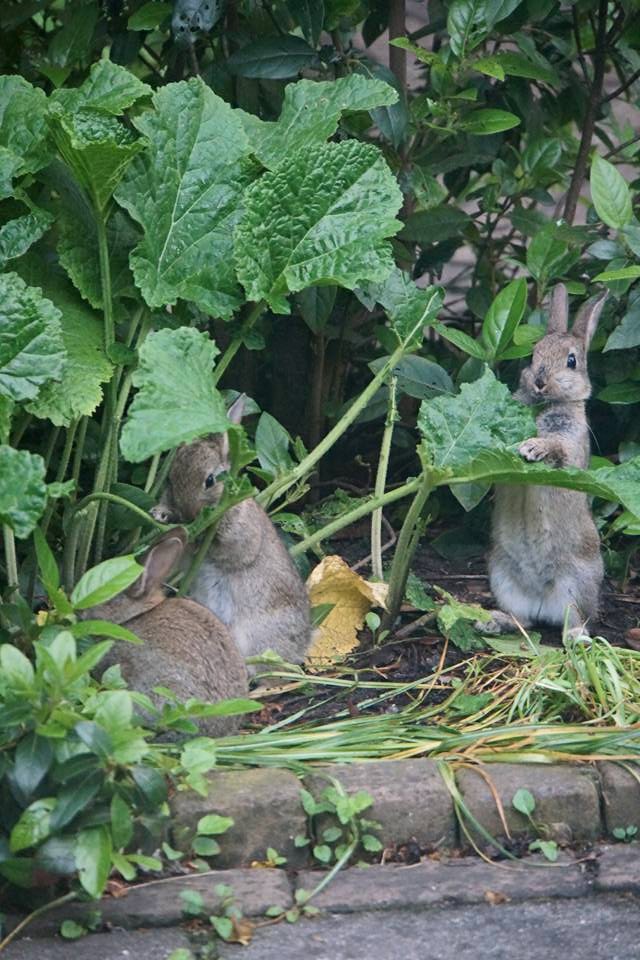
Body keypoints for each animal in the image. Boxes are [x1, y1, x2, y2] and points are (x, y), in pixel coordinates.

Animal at [150, 394, 310, 672]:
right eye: (170, 480)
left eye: (210, 481)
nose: (189, 515)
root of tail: (306, 641)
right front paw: (160, 514)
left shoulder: (240, 539)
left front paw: (199, 537)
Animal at [482, 284, 608, 636]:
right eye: (533, 353)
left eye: (571, 361)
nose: (539, 381)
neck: (544, 404)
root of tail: (541, 601)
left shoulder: (570, 443)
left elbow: (558, 450)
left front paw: (533, 448)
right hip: (501, 575)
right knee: (523, 620)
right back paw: (492, 622)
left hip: (576, 582)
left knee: (575, 621)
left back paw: (578, 638)